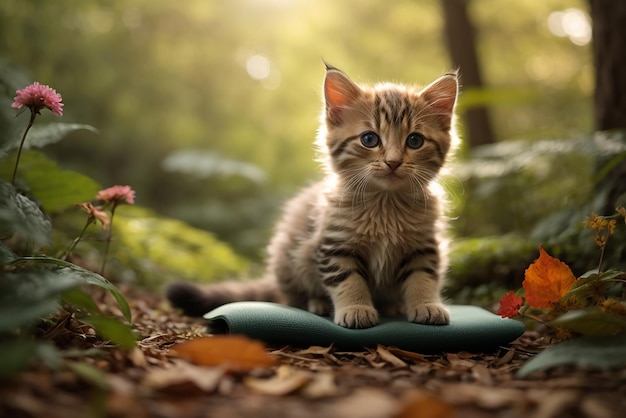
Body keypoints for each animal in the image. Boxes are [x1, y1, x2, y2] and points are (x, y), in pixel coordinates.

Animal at [167, 63, 458, 328]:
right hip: (288, 258)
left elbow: (423, 277)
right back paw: (317, 303)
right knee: (292, 297)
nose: (393, 162)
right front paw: (355, 308)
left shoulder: (424, 246)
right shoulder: (334, 244)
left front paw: (426, 304)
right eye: (369, 139)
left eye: (415, 141)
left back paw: (393, 305)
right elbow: (348, 279)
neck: (386, 205)